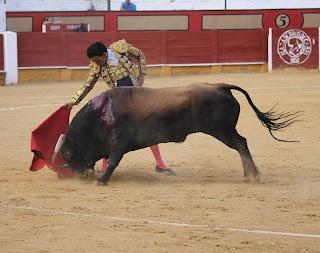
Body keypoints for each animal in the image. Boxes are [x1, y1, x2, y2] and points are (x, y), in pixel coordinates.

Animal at [52, 82, 300, 184]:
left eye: (68, 154)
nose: (79, 175)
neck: (101, 113)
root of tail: (219, 86)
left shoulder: (118, 143)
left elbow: (113, 161)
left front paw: (102, 180)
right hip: (224, 130)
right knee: (242, 144)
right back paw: (249, 174)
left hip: (222, 131)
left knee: (241, 143)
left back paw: (254, 175)